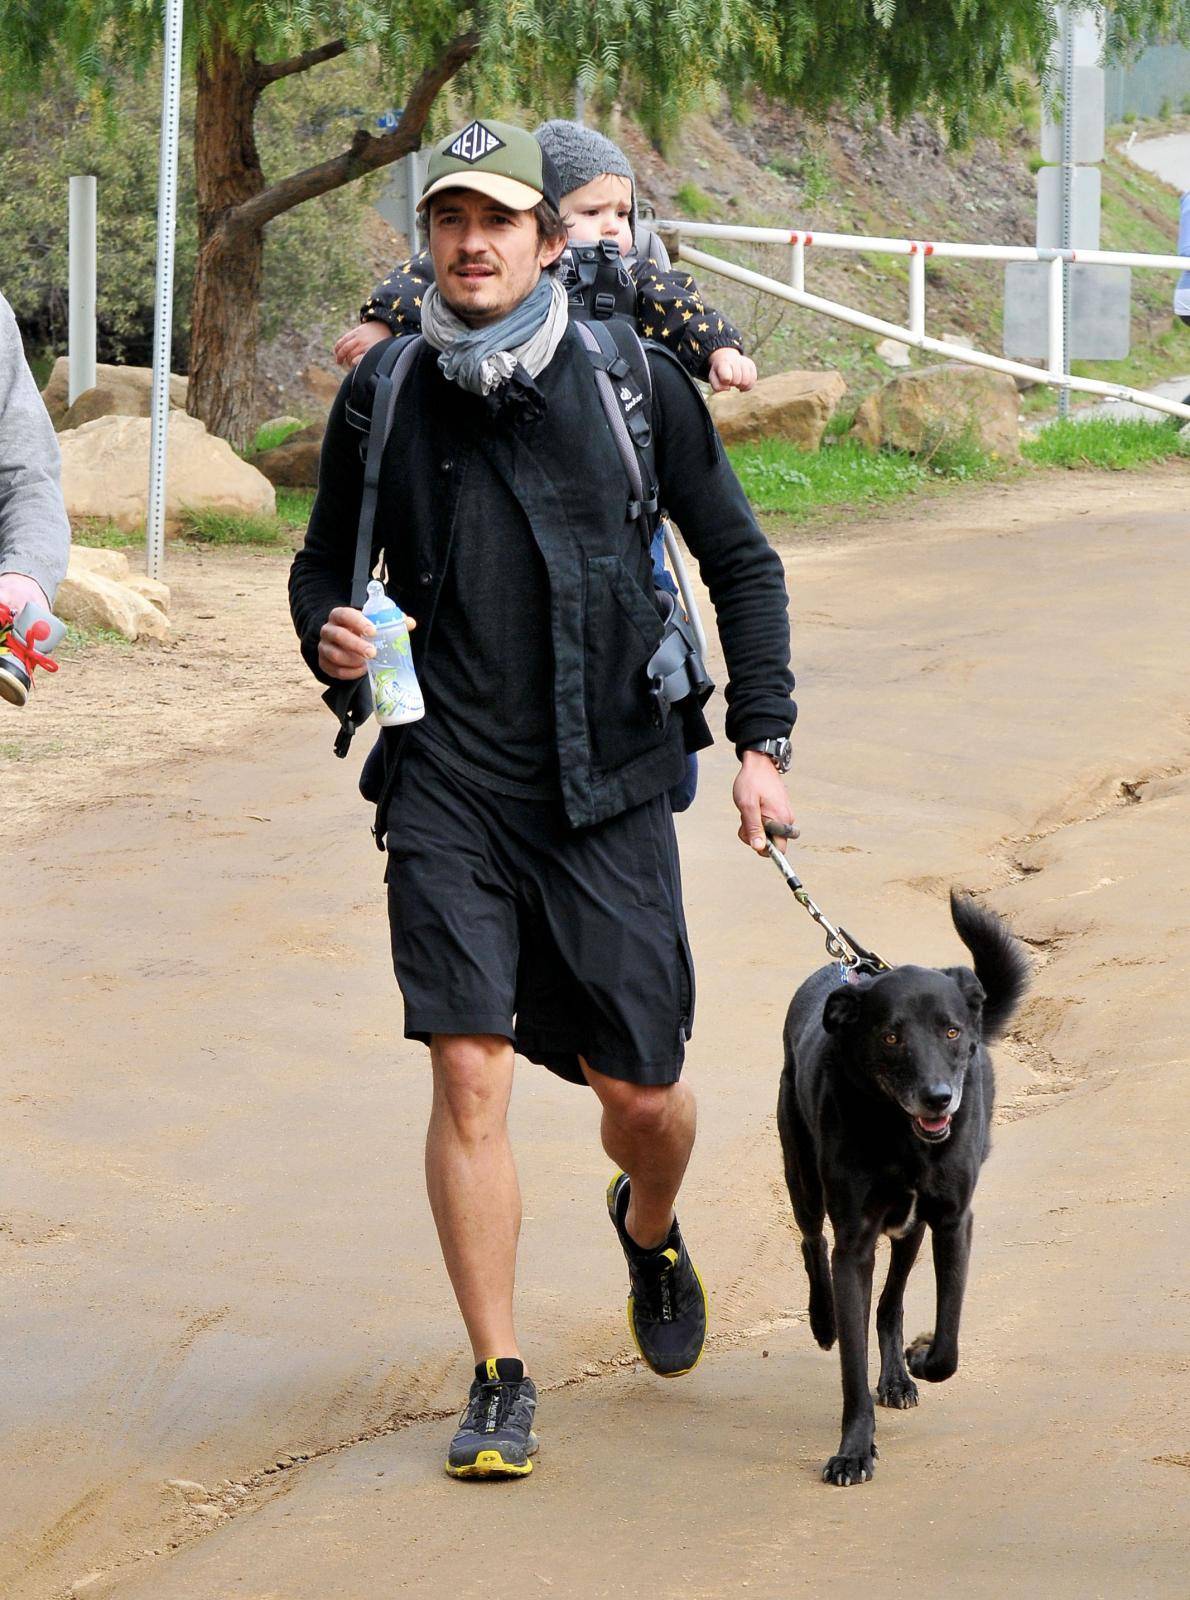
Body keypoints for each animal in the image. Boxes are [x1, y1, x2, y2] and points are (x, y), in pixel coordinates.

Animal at [777, 889, 1030, 1484]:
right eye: (891, 1036)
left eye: (952, 1031)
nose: (939, 1098)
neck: (901, 1135)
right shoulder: (855, 1244)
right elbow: (850, 1366)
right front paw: (854, 1449)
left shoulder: (952, 1222)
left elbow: (949, 1343)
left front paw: (919, 1356)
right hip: (803, 1178)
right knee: (810, 1240)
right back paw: (823, 1320)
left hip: (909, 1230)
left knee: (889, 1305)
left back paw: (895, 1375)